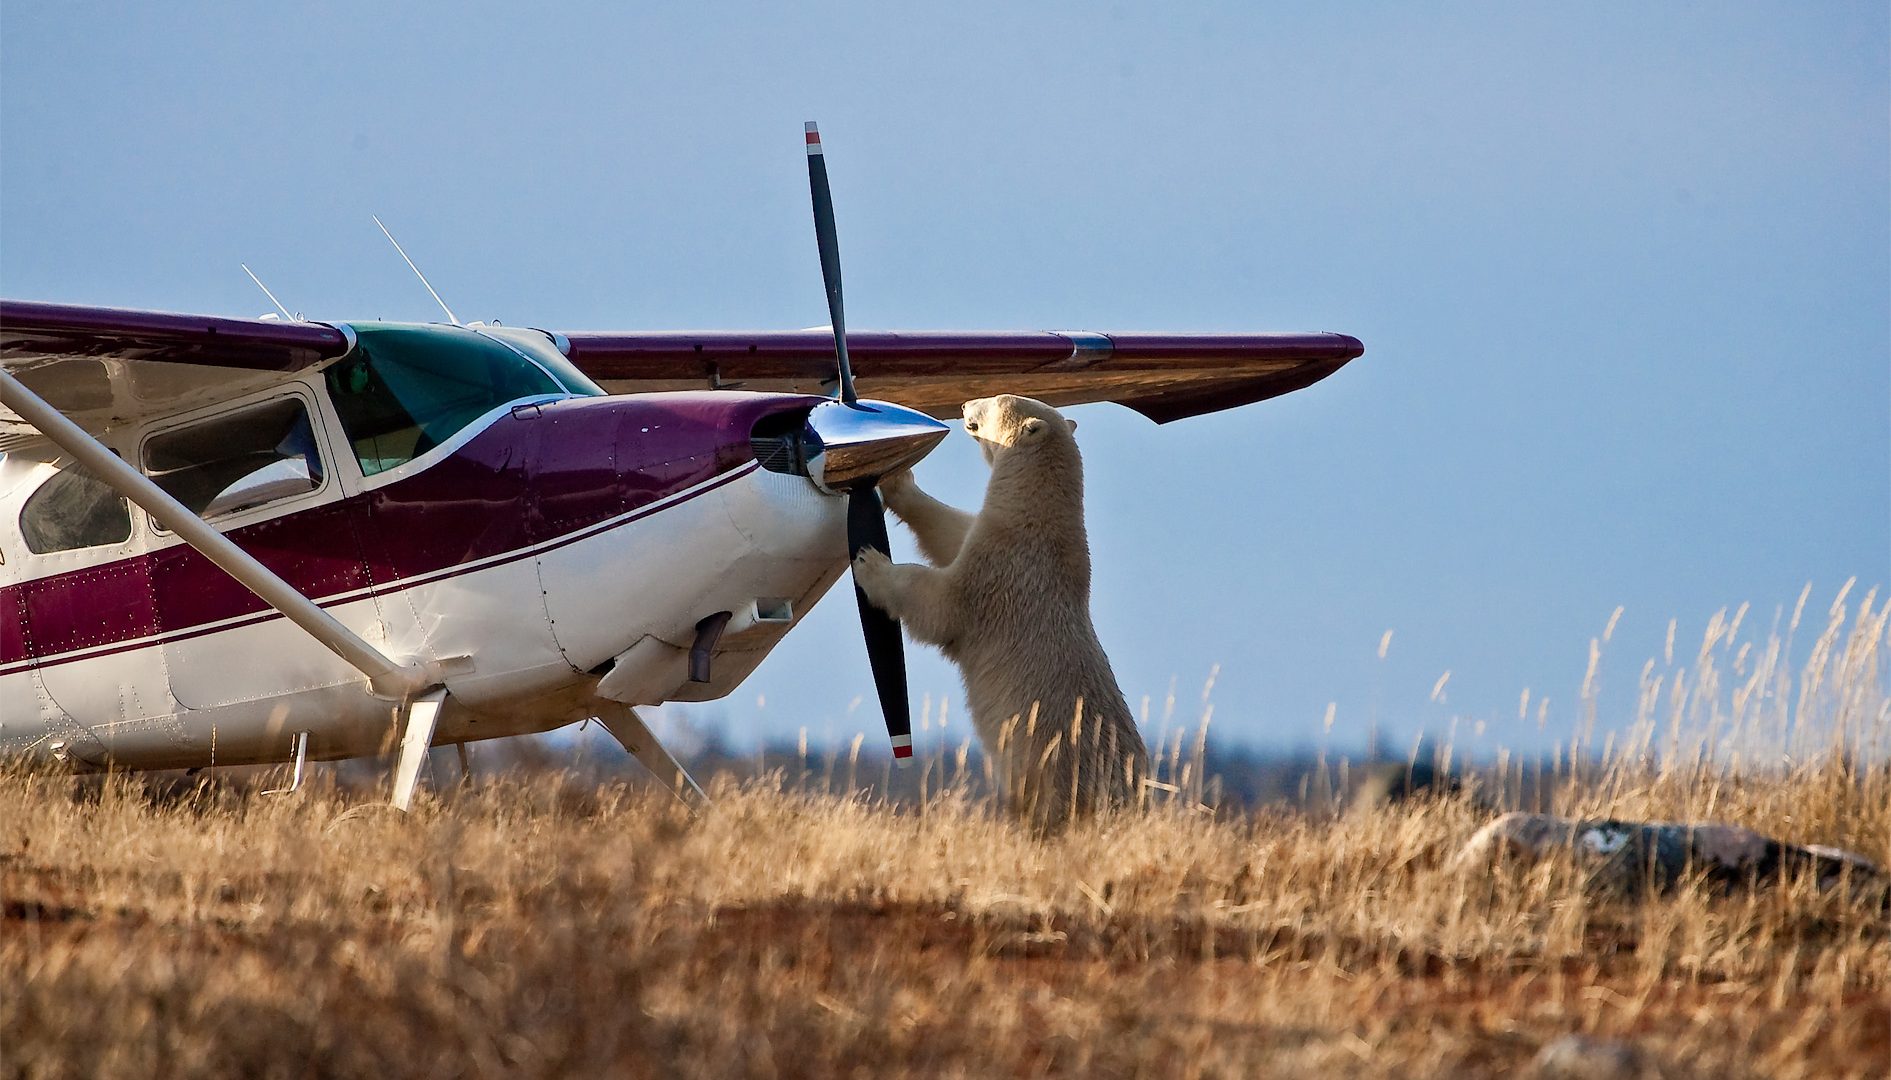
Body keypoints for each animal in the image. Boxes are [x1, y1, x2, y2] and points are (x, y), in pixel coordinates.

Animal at [850, 393, 1149, 832]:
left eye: (994, 401)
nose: (963, 404)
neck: (1040, 522)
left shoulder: (1003, 571)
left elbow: (940, 602)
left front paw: (870, 562)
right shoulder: (993, 537)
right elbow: (951, 531)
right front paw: (898, 482)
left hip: (1056, 774)